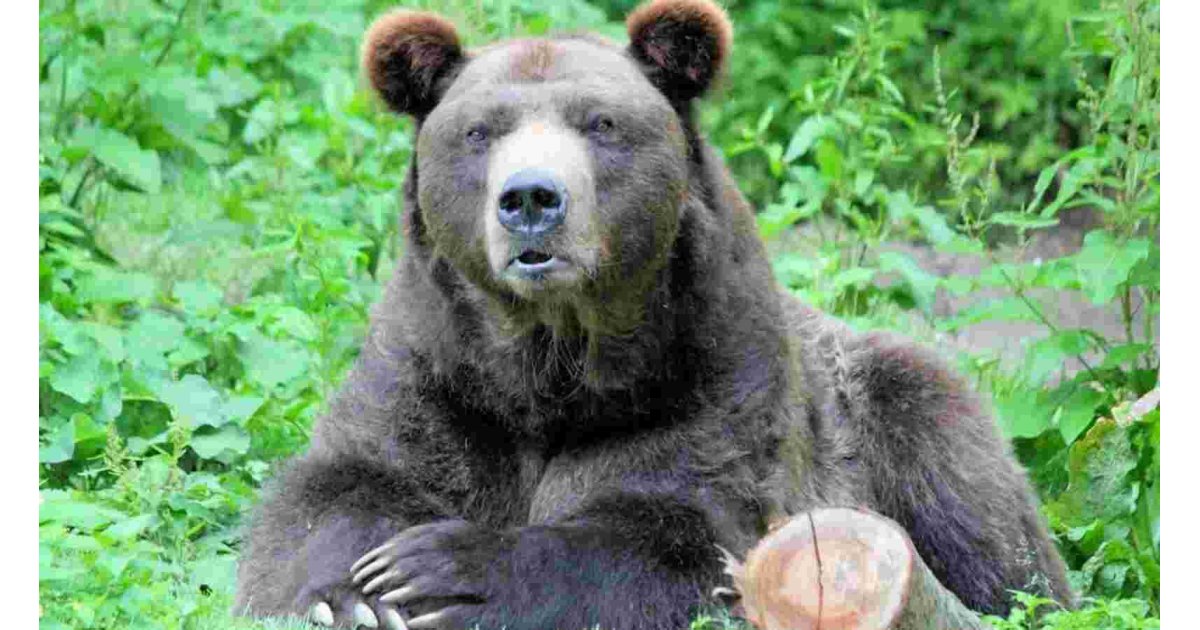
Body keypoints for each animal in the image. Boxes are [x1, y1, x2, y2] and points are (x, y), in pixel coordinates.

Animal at [233, 1, 1073, 628]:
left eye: (600, 123)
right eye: (479, 131)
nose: (531, 198)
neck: (551, 360)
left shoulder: (707, 376)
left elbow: (677, 532)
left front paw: (444, 572)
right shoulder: (436, 369)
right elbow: (338, 487)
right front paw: (359, 592)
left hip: (897, 406)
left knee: (987, 522)